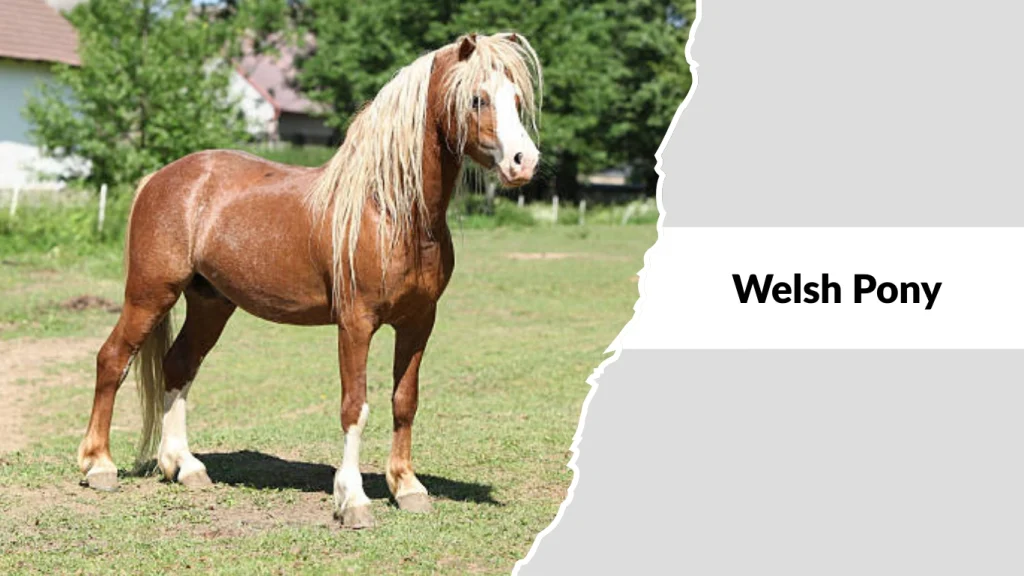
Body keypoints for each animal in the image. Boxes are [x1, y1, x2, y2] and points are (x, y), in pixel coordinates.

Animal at [75, 32, 542, 529]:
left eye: (517, 100)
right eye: (477, 98)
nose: (524, 161)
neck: (391, 211)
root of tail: (159, 178)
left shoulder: (419, 322)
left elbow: (405, 400)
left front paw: (407, 487)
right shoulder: (356, 324)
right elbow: (355, 406)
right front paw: (353, 500)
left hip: (210, 303)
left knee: (178, 364)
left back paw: (184, 467)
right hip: (150, 294)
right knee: (112, 359)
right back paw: (99, 466)